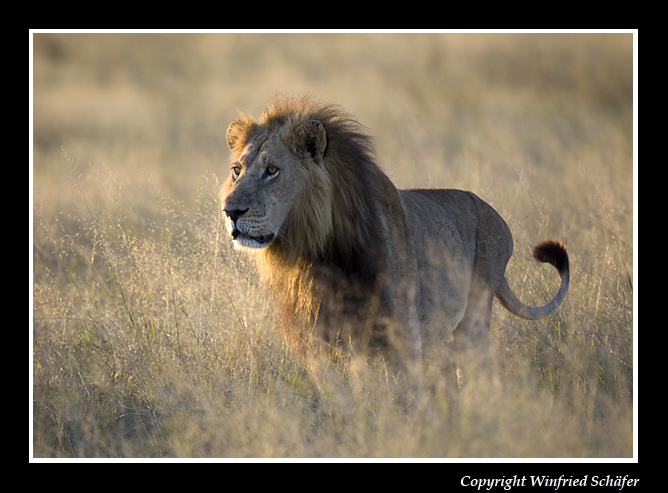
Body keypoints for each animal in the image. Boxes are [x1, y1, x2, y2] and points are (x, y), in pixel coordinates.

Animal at [220, 94, 568, 402]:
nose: (230, 211)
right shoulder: (317, 339)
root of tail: (497, 216)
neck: (315, 253)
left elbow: (407, 395)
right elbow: (340, 399)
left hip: (475, 316)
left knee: (474, 366)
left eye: (272, 170)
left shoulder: (401, 335)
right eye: (237, 170)